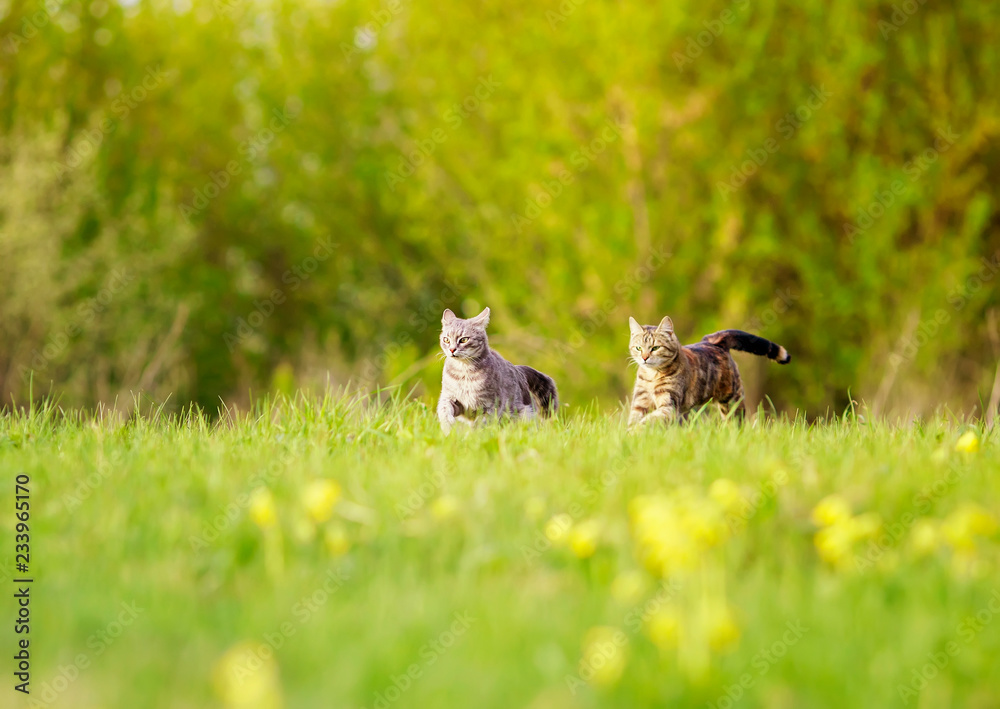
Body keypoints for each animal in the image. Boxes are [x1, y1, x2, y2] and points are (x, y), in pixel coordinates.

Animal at [628, 316, 792, 426]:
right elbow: (633, 420)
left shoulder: (669, 406)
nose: (644, 358)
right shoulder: (640, 402)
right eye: (638, 348)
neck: (651, 376)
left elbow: (648, 421)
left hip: (732, 402)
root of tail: (713, 341)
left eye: (655, 348)